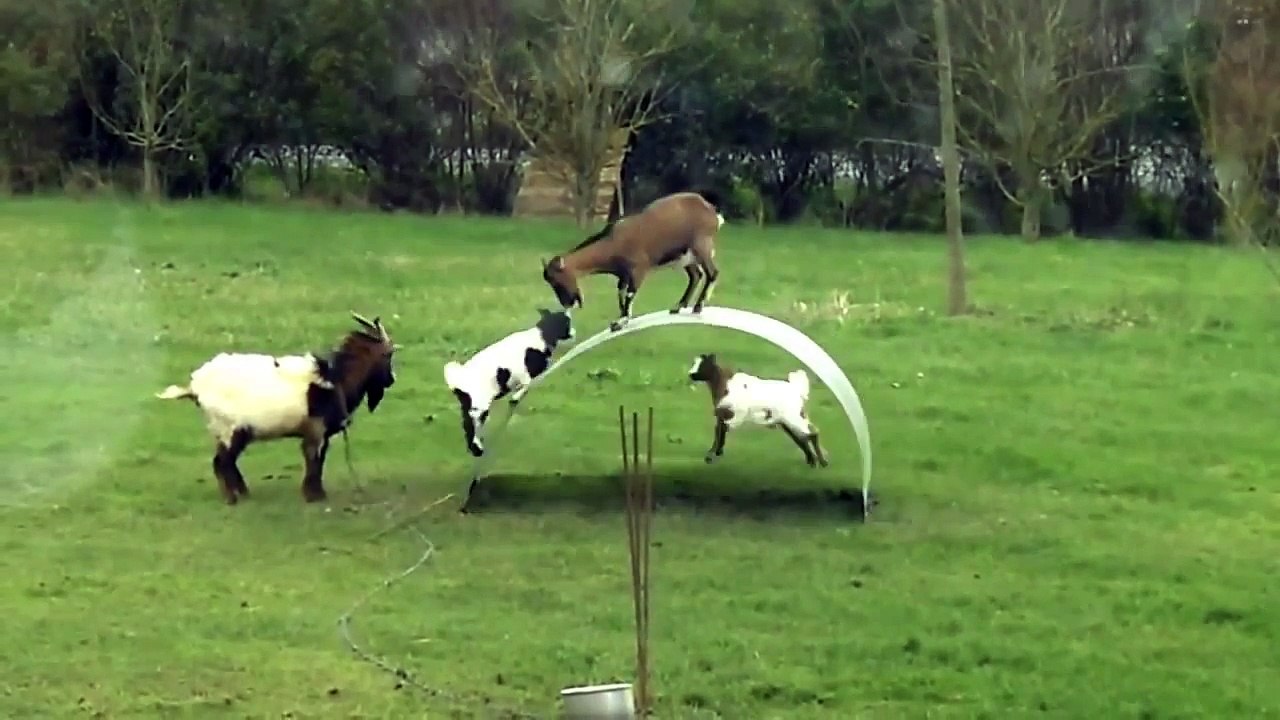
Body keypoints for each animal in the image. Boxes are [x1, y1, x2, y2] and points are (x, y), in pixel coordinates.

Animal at [155, 312, 398, 505]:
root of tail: (195, 386)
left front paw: (316, 493)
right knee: (221, 462)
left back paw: (243, 493)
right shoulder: (316, 430)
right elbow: (314, 461)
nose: (391, 380)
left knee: (226, 461)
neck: (336, 379)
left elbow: (318, 461)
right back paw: (232, 498)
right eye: (388, 355)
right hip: (231, 429)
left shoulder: (319, 433)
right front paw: (314, 495)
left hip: (223, 430)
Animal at [443, 308, 574, 458]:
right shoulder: (525, 375)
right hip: (479, 406)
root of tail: (458, 381)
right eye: (567, 323)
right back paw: (477, 448)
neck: (541, 336)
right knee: (472, 424)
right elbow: (526, 386)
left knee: (466, 424)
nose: (573, 333)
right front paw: (515, 397)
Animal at [541, 190, 725, 332]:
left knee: (712, 273)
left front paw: (621, 322)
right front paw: (621, 318)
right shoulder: (623, 275)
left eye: (558, 281)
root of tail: (712, 212)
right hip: (685, 257)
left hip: (701, 246)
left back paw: (698, 306)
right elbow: (621, 293)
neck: (613, 243)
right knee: (696, 275)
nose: (568, 302)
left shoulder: (638, 269)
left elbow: (629, 294)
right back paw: (678, 306)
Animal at [687, 353, 829, 468]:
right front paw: (714, 454)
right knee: (802, 438)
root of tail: (796, 388)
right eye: (694, 363)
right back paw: (812, 462)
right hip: (789, 419)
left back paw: (822, 463)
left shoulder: (729, 415)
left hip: (793, 416)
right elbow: (719, 432)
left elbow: (720, 433)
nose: (690, 374)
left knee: (811, 435)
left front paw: (711, 456)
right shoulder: (722, 416)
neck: (725, 384)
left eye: (703, 365)